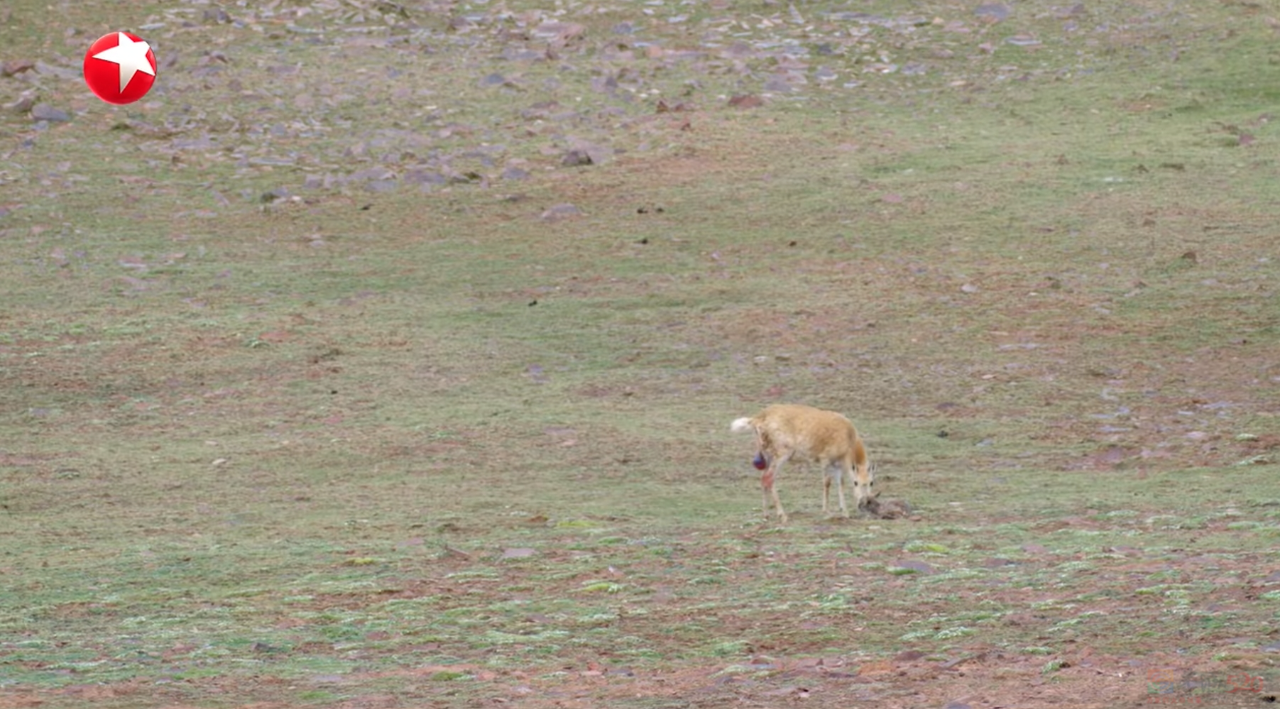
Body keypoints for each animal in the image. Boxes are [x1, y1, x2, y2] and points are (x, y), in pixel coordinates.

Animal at [732, 401, 880, 519]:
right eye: (856, 482)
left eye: (871, 482)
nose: (864, 502)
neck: (849, 440)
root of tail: (757, 418)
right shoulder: (825, 460)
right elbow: (827, 483)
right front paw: (827, 511)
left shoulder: (837, 465)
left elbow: (840, 484)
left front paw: (845, 512)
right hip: (782, 454)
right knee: (769, 478)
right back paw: (782, 514)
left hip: (768, 455)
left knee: (764, 478)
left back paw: (766, 514)